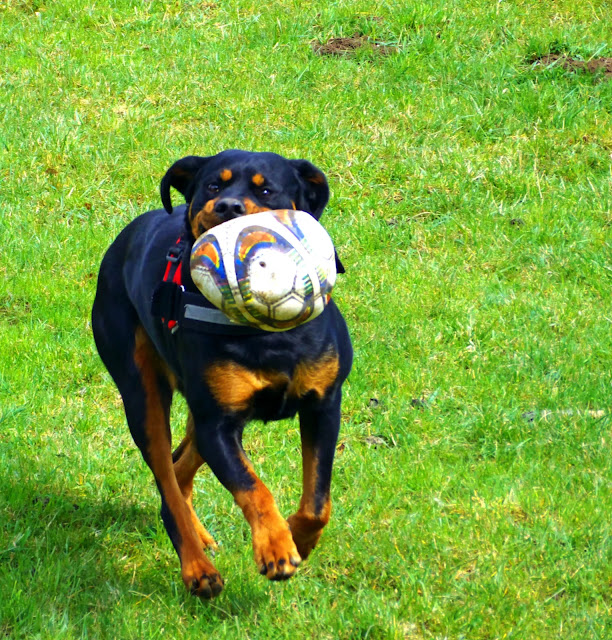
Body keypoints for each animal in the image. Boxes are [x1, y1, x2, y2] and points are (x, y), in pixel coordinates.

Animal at [88, 151, 352, 600]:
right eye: (213, 185)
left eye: (266, 190)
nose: (228, 206)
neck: (262, 334)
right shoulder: (218, 423)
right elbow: (253, 487)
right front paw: (275, 548)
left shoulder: (323, 404)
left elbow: (318, 500)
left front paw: (298, 538)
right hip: (142, 394)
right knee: (166, 479)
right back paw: (198, 568)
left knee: (179, 470)